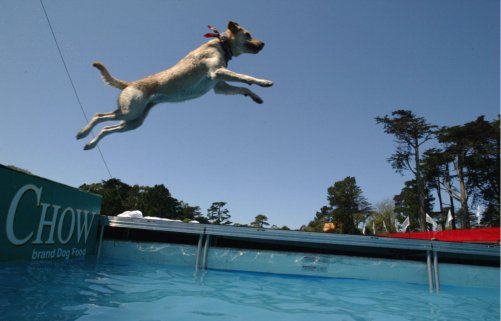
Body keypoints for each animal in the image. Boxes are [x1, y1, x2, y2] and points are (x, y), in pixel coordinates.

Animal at [77, 21, 274, 149]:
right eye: (248, 34)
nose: (264, 43)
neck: (221, 44)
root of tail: (129, 84)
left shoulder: (219, 86)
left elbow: (243, 87)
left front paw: (255, 96)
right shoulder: (217, 73)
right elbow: (245, 77)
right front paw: (264, 81)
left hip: (134, 121)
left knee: (106, 128)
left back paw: (90, 144)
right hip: (129, 111)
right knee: (98, 116)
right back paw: (83, 133)